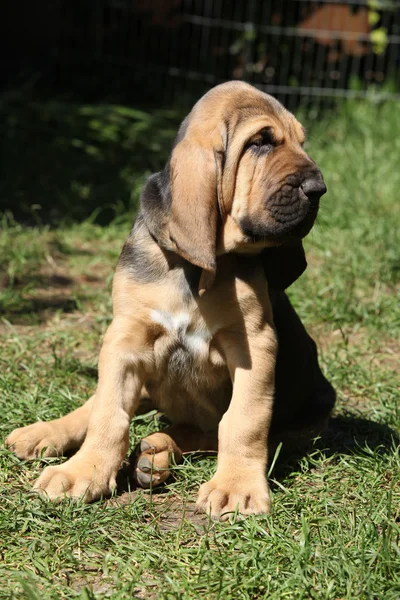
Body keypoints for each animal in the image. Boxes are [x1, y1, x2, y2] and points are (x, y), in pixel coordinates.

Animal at [7, 81, 336, 520]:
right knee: (99, 406)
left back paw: (156, 453)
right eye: (261, 142)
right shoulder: (125, 338)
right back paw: (45, 434)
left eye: (301, 142)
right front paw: (83, 472)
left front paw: (237, 487)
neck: (193, 269)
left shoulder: (255, 342)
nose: (319, 190)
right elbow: (108, 412)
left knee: (212, 431)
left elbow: (243, 420)